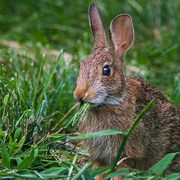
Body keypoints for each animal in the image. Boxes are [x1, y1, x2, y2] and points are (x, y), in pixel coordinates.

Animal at [73, 2, 180, 180]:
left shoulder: (127, 154)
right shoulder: (99, 155)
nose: (79, 94)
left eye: (106, 70)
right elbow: (96, 169)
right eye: (81, 65)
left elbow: (120, 171)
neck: (109, 103)